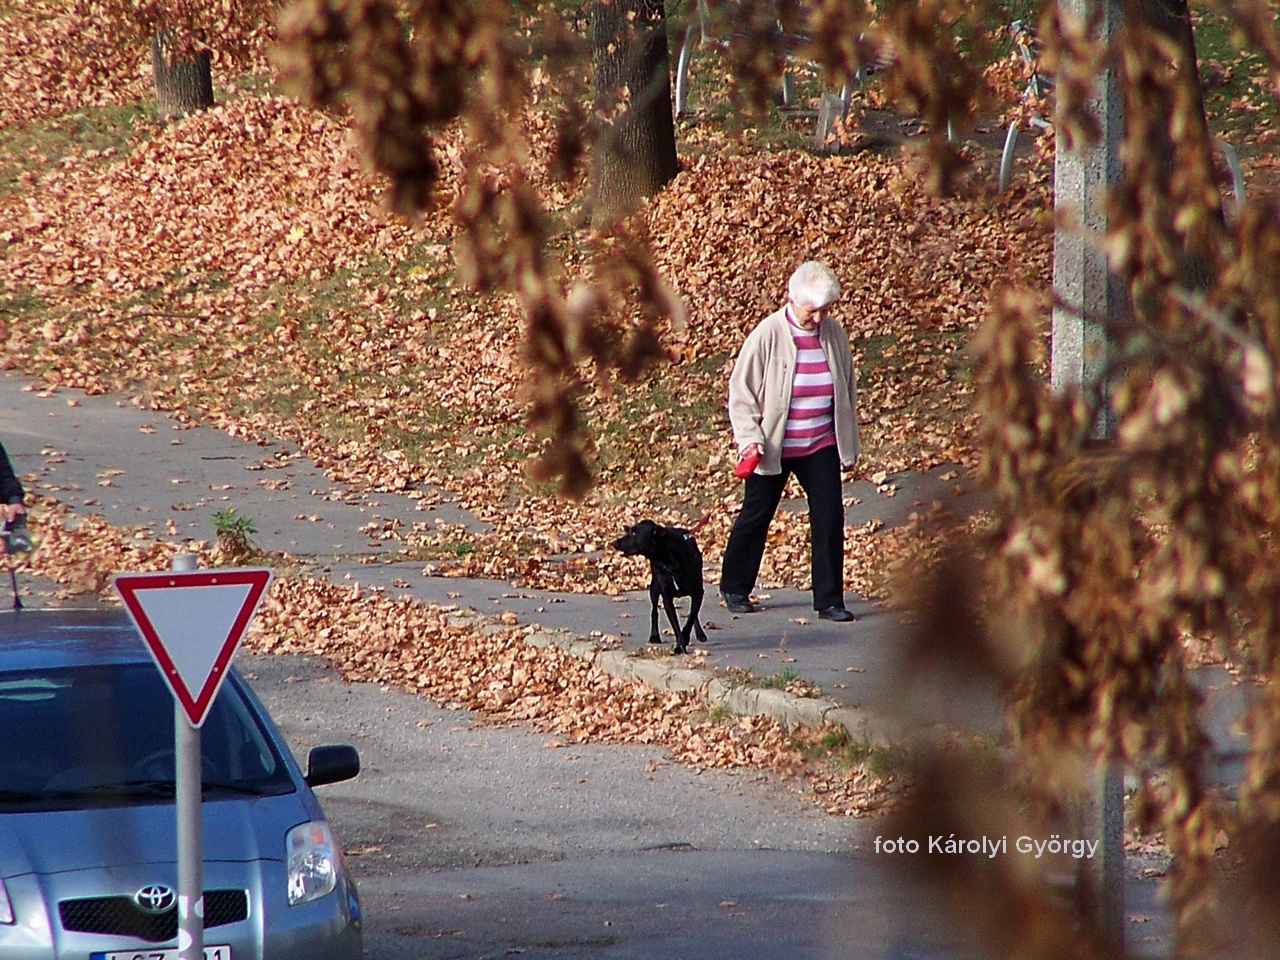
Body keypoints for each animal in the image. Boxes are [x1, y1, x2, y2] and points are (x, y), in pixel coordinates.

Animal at [611, 522, 711, 660]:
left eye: (634, 533)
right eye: (630, 531)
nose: (614, 543)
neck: (671, 563)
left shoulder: (698, 593)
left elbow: (690, 619)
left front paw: (683, 642)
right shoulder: (667, 598)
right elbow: (675, 625)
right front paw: (680, 646)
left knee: (693, 614)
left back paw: (699, 633)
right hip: (654, 587)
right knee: (654, 611)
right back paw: (654, 636)